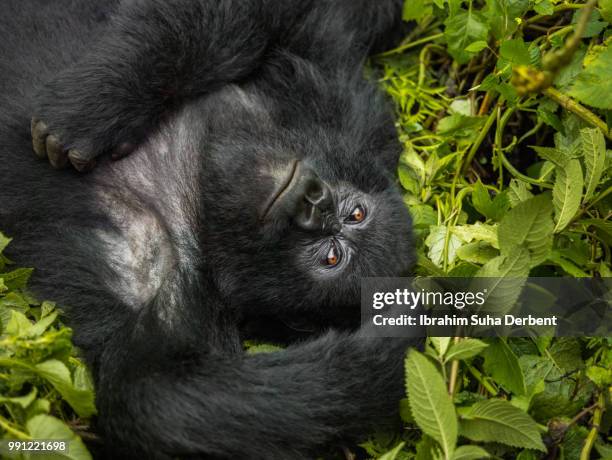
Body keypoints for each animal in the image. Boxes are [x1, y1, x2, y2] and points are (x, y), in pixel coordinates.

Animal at [0, 0, 418, 460]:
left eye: (332, 256)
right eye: (356, 214)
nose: (314, 204)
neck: (200, 197)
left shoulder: (175, 294)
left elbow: (155, 396)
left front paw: (413, 325)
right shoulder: (342, 99)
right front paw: (96, 104)